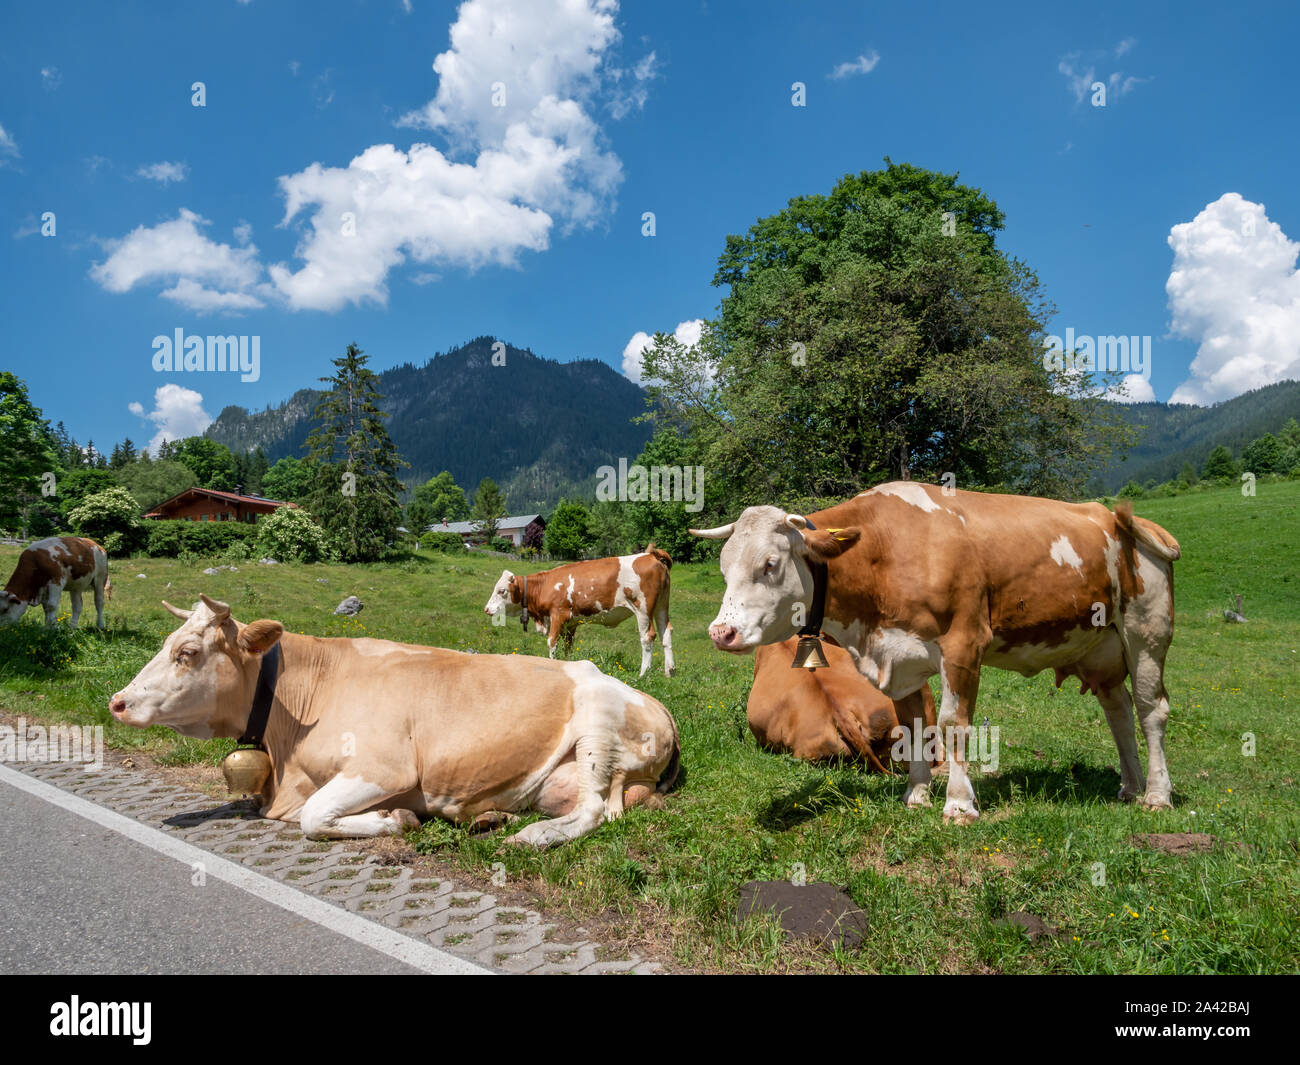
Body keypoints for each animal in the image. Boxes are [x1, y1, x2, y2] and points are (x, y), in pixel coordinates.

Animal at [109, 595, 679, 847]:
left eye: (186, 653)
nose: (117, 701)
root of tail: (657, 703)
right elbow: (306, 813)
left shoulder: (386, 768)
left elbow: (315, 818)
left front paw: (395, 820)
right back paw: (493, 819)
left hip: (597, 732)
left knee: (595, 811)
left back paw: (531, 837)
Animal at [484, 545, 674, 677]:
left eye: (501, 591)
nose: (486, 609)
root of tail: (651, 555)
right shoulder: (570, 623)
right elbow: (568, 647)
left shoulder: (558, 615)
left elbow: (552, 643)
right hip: (662, 606)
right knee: (666, 633)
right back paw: (669, 671)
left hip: (643, 609)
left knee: (648, 637)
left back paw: (643, 674)